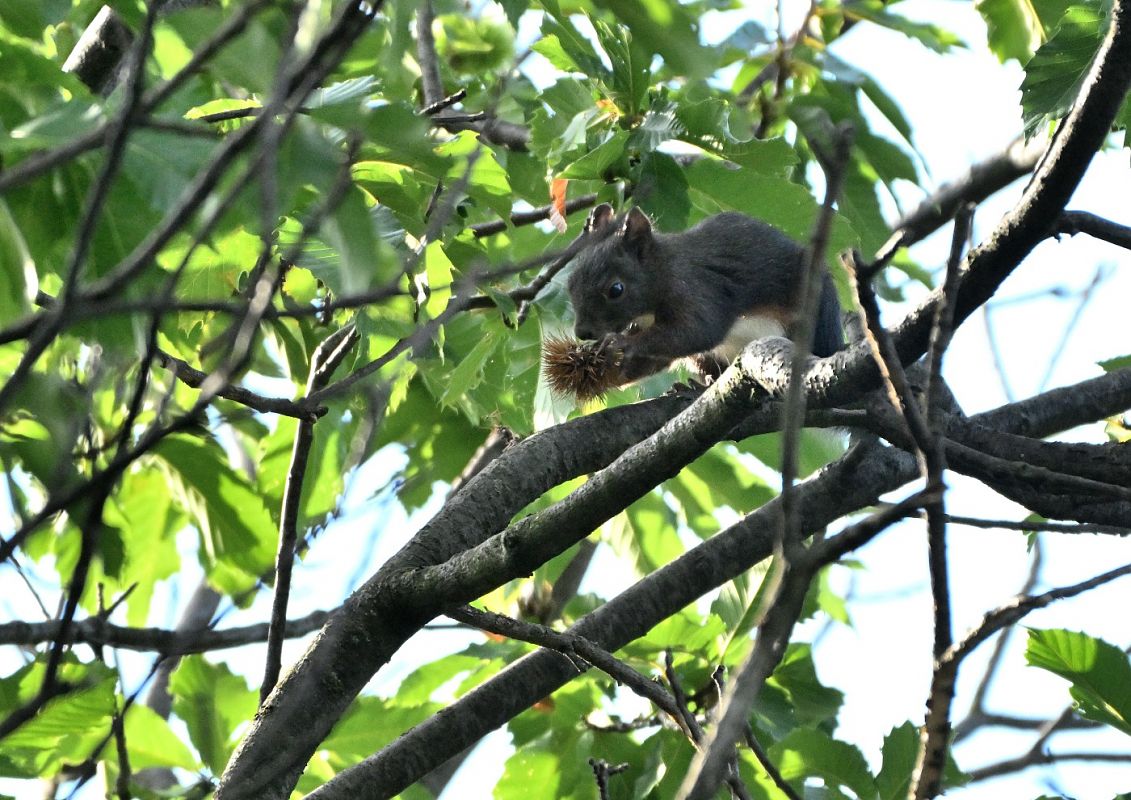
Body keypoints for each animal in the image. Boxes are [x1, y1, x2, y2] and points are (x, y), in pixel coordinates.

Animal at [566, 204, 843, 383]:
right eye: (570, 282)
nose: (583, 332)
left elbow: (698, 331)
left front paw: (622, 343)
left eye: (616, 289)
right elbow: (652, 361)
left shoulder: (696, 289)